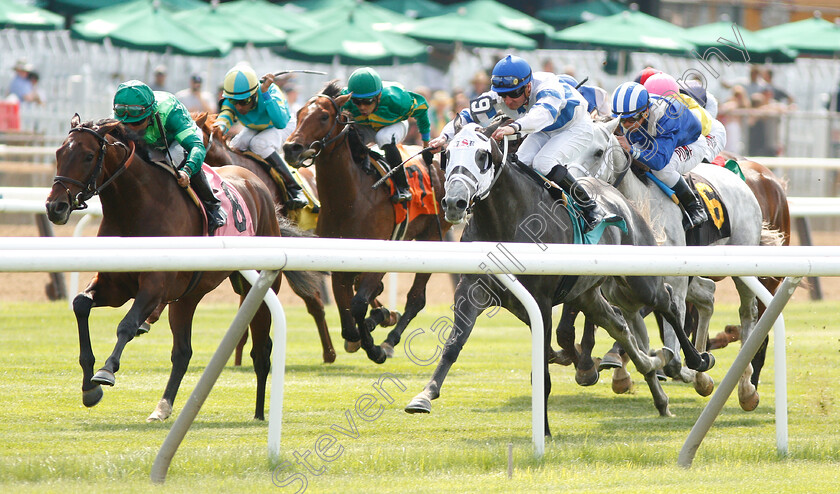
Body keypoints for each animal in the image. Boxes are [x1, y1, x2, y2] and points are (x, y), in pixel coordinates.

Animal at [46, 115, 322, 420]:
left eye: (88, 155)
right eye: (59, 153)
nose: (55, 207)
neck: (136, 208)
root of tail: (258, 186)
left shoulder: (155, 286)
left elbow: (127, 324)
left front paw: (106, 371)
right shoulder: (115, 286)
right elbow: (81, 304)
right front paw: (89, 387)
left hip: (257, 287)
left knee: (261, 351)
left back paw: (260, 413)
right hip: (187, 296)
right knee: (182, 352)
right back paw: (163, 407)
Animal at [282, 81, 452, 364]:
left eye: (324, 116)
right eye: (297, 114)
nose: (290, 148)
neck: (349, 200)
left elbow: (358, 304)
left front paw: (373, 346)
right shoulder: (340, 259)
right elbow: (347, 316)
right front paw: (365, 330)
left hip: (433, 235)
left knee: (416, 298)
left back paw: (388, 340)